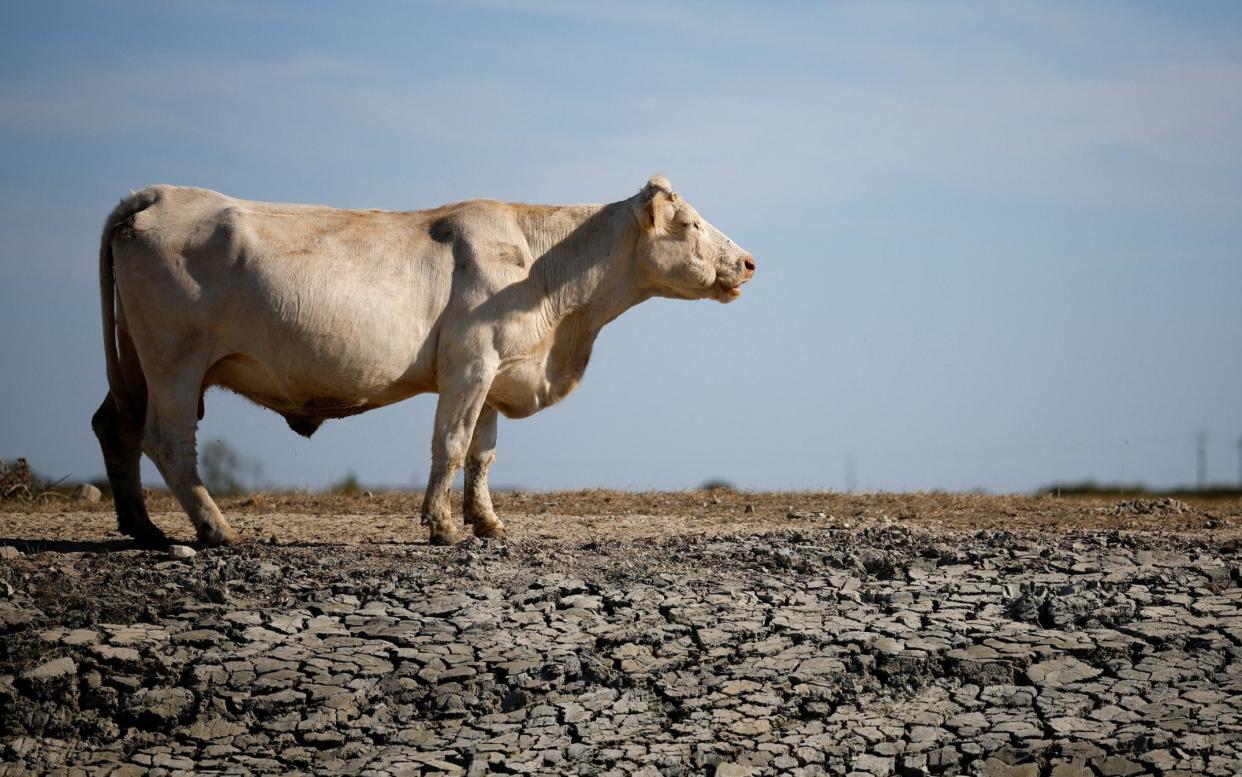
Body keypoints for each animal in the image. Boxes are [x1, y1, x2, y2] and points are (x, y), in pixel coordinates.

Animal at [90, 175, 755, 543]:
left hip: (136, 361)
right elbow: (452, 444)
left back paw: (144, 529)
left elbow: (483, 454)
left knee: (113, 426)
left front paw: (487, 523)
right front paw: (442, 526)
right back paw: (216, 529)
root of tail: (156, 194)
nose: (748, 261)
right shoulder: (470, 362)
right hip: (174, 362)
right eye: (690, 223)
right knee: (169, 442)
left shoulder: (497, 372)